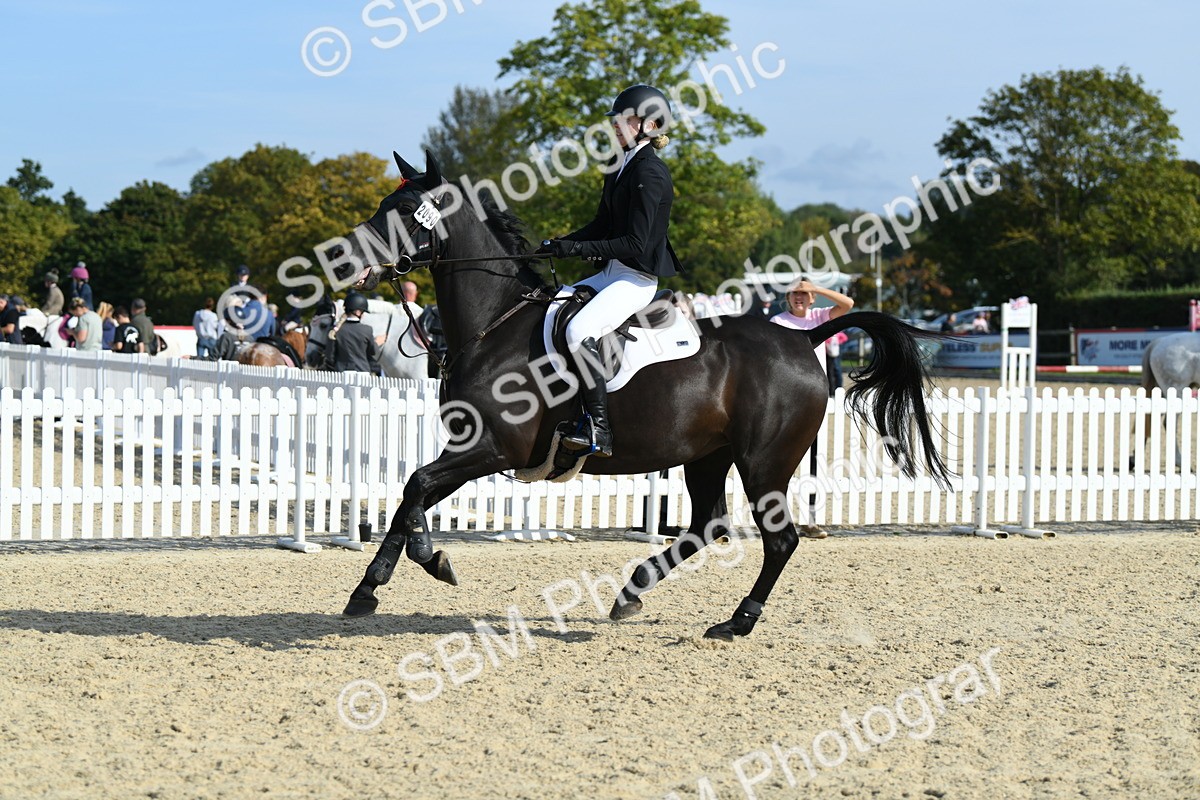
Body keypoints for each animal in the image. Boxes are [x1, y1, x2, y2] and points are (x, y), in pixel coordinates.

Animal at [332, 150, 952, 640]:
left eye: (404, 213)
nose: (343, 259)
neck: (495, 326)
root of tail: (802, 339)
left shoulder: (493, 449)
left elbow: (416, 486)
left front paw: (406, 571)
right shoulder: (470, 447)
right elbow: (412, 495)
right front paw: (393, 576)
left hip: (764, 462)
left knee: (779, 541)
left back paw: (737, 621)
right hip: (709, 456)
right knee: (708, 525)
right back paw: (632, 591)